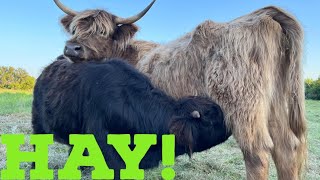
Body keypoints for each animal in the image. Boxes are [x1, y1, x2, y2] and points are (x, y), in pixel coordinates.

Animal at [53, 0, 306, 179]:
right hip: (276, 106)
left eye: (103, 32)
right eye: (75, 29)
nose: (72, 48)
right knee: (286, 148)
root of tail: (261, 15)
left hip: (242, 105)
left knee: (257, 154)